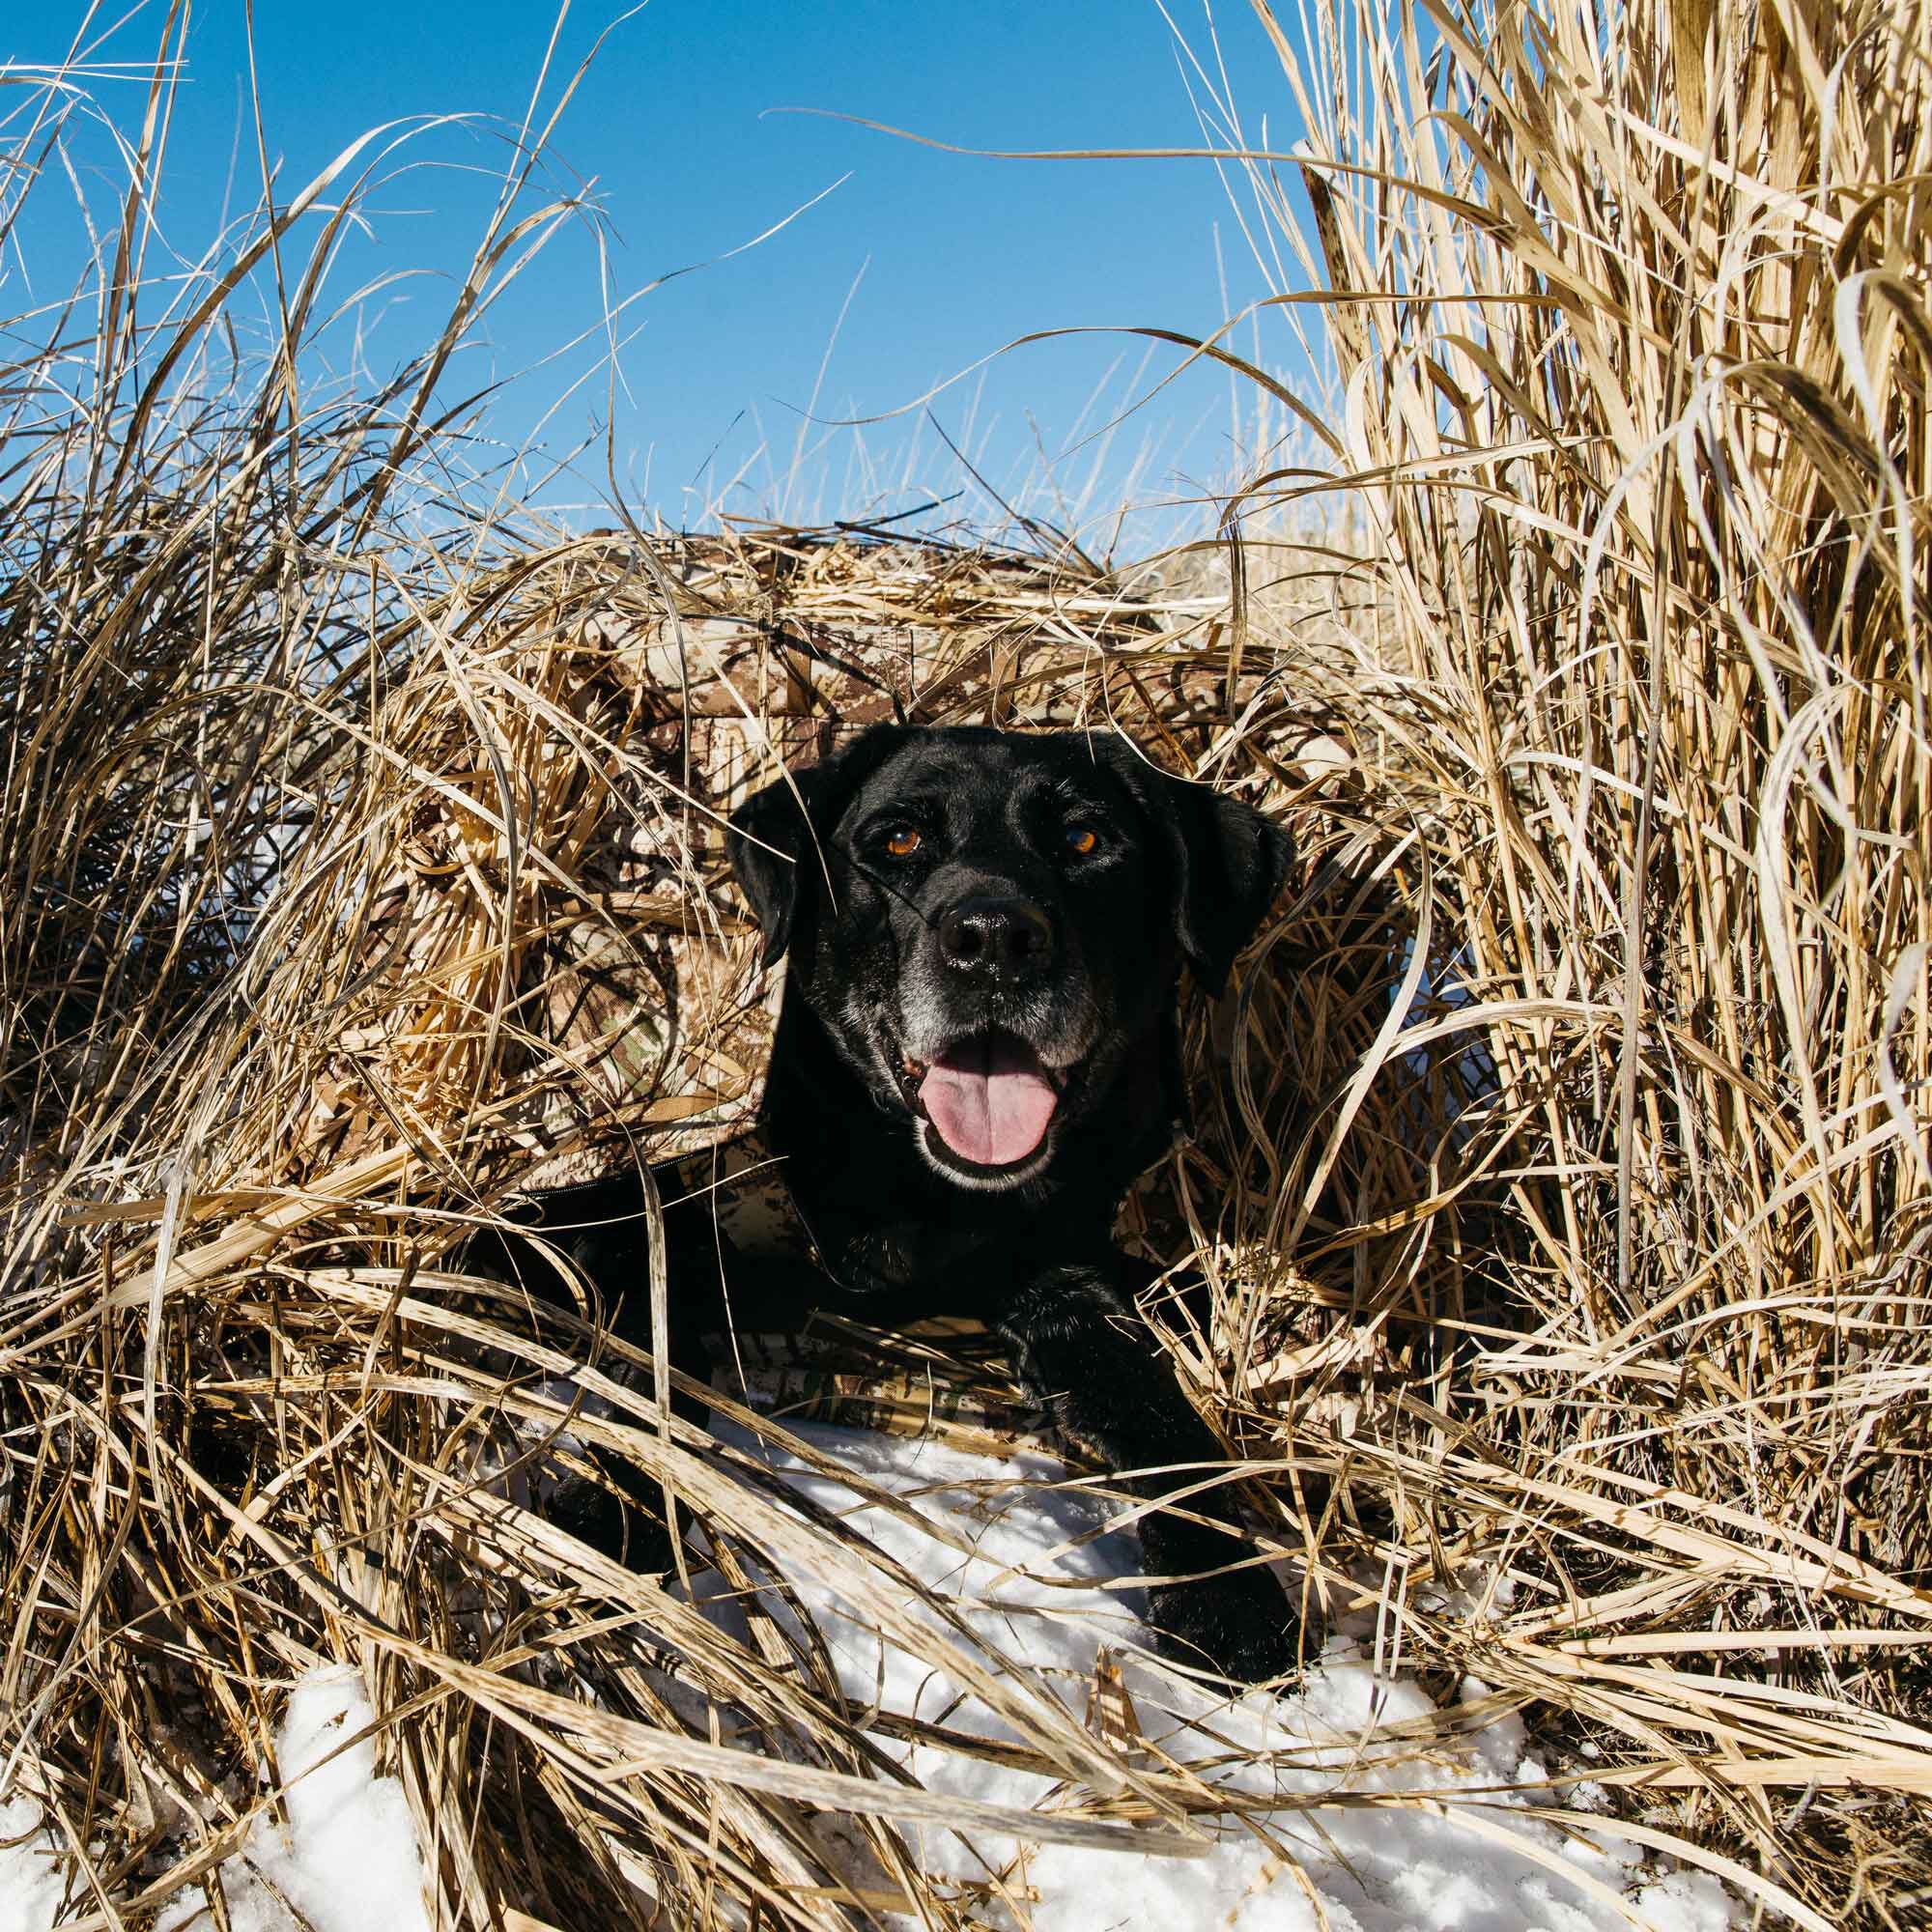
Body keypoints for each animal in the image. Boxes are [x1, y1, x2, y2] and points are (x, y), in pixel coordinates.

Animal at [502, 726, 1314, 1677]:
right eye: (897, 840)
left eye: (1086, 839)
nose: (995, 939)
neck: (930, 1210)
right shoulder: (671, 1225)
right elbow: (656, 1372)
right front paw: (609, 1519)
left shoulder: (1072, 1284)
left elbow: (1168, 1426)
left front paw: (1230, 1599)